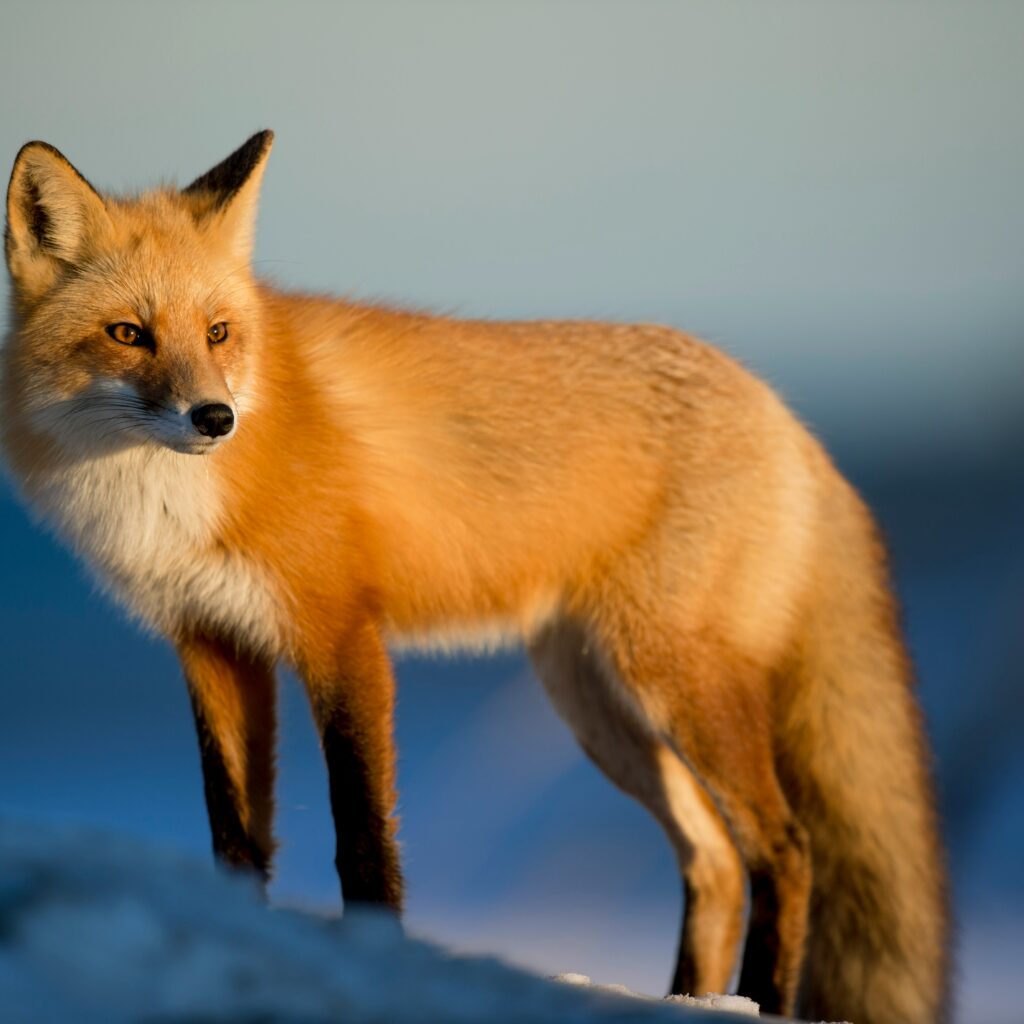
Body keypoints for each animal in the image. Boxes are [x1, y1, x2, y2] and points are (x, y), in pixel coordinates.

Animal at [2, 131, 949, 1023]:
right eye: (128, 333)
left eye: (219, 333)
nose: (215, 418)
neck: (167, 500)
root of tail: (786, 415)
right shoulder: (212, 643)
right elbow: (234, 838)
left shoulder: (340, 634)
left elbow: (363, 838)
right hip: (598, 705)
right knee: (714, 859)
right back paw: (689, 1000)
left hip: (674, 682)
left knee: (785, 849)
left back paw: (761, 1002)